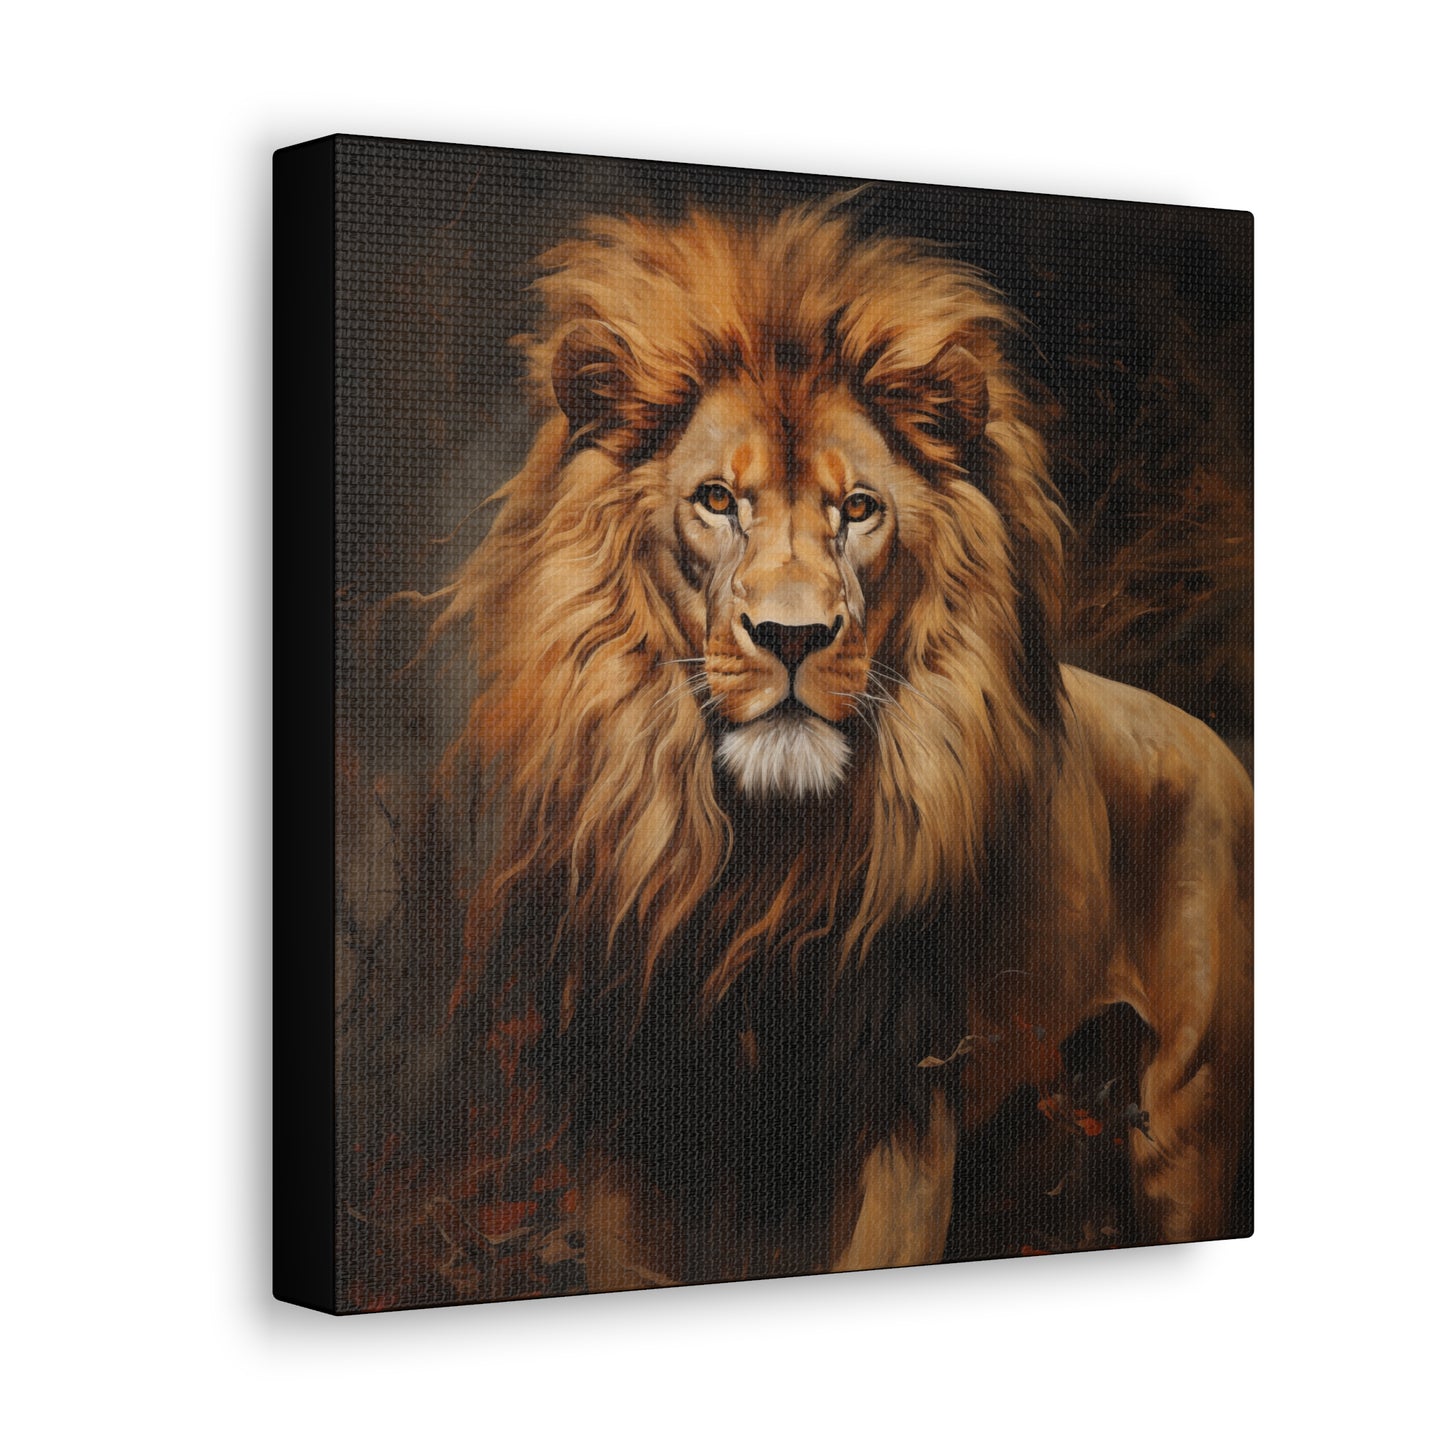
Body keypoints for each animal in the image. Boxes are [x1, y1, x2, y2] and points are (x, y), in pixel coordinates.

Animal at [432, 198, 1253, 1290]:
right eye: (716, 499)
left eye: (857, 508)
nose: (792, 635)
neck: (759, 864)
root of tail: (1216, 744)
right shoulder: (629, 1124)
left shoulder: (902, 1111)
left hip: (1182, 1119)